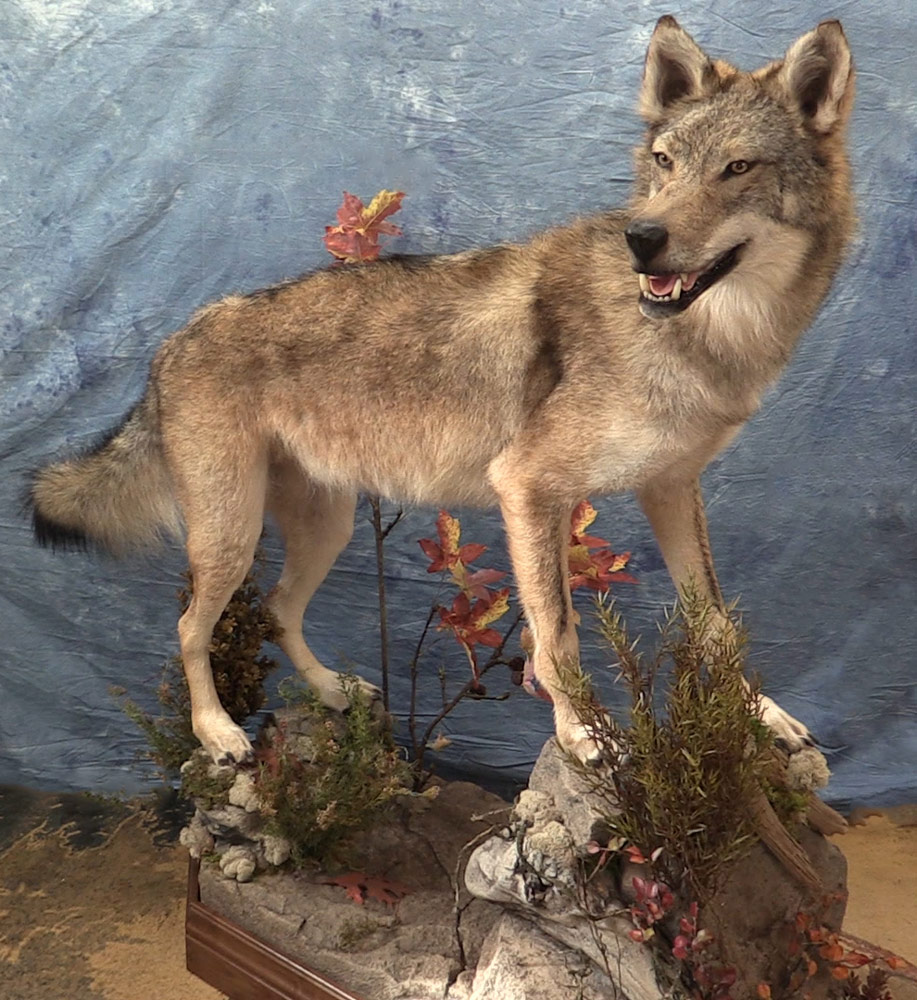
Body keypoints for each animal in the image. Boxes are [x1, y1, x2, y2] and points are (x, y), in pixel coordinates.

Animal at [30, 17, 855, 768]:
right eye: (665, 162)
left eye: (737, 168)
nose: (641, 239)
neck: (705, 339)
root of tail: (171, 344)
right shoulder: (528, 490)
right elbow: (557, 638)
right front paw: (584, 738)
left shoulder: (672, 489)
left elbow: (713, 621)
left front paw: (762, 718)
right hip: (230, 536)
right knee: (189, 629)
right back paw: (217, 733)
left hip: (323, 529)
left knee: (274, 611)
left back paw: (332, 692)